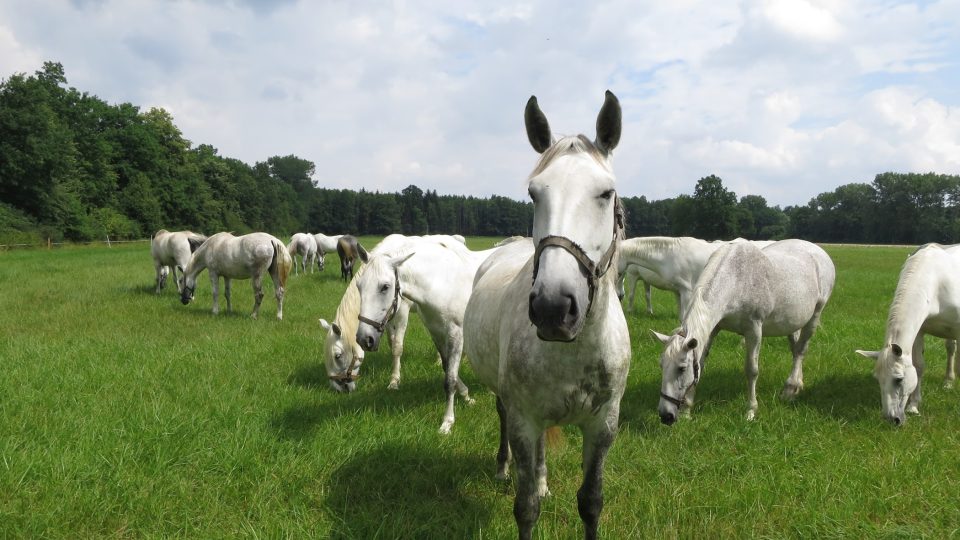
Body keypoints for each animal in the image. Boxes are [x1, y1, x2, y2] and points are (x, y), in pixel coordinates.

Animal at [318, 232, 462, 392]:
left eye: (337, 355)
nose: (338, 388)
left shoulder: (402, 314)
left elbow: (397, 347)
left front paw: (394, 381)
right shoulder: (384, 319)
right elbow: (391, 342)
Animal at [464, 93, 632, 540]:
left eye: (606, 193)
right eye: (533, 193)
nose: (554, 308)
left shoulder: (603, 425)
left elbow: (591, 502)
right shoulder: (524, 418)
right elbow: (526, 508)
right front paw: (526, 487)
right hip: (508, 403)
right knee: (503, 421)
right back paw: (504, 468)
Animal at [652, 238, 832, 424]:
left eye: (681, 368)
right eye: (661, 365)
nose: (665, 415)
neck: (735, 280)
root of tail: (818, 251)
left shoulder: (754, 329)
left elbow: (752, 370)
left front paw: (751, 411)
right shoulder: (714, 328)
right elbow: (700, 364)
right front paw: (687, 412)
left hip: (815, 315)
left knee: (801, 350)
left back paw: (791, 388)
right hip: (792, 322)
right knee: (796, 350)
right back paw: (795, 386)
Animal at [856, 243, 960, 424]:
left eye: (898, 379)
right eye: (877, 379)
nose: (891, 418)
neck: (936, 283)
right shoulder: (919, 332)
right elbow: (918, 366)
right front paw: (913, 406)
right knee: (950, 348)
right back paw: (948, 382)